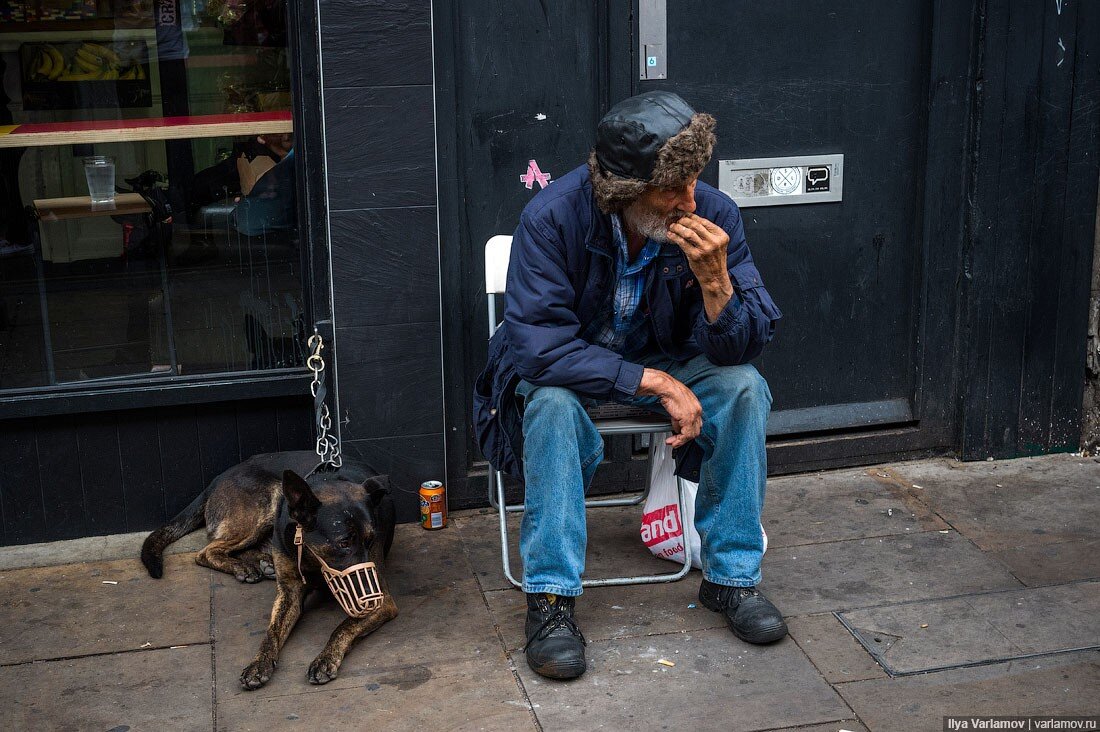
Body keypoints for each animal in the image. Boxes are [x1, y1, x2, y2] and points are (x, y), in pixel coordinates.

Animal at [139, 449, 400, 686]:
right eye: (343, 542)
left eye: (370, 540)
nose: (372, 595)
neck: (311, 556)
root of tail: (218, 479)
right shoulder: (289, 593)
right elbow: (271, 632)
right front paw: (258, 662)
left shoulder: (383, 601)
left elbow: (343, 627)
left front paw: (325, 658)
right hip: (267, 503)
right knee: (206, 552)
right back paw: (244, 567)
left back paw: (261, 563)